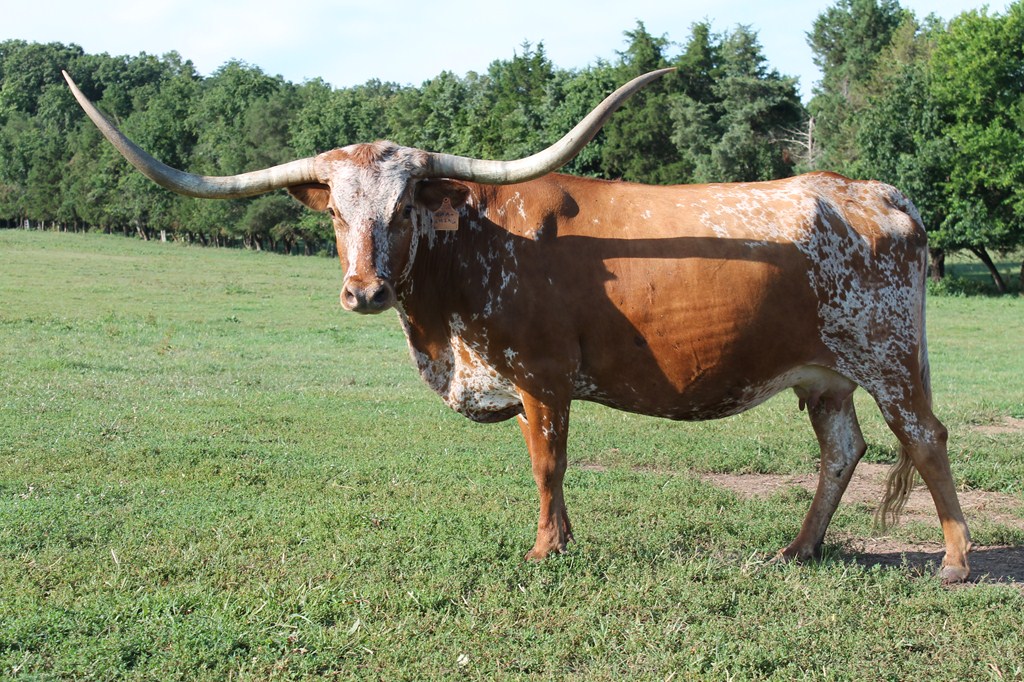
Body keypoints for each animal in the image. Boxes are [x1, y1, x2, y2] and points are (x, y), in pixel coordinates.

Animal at [64, 68, 972, 582]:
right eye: (337, 216)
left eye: (404, 206)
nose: (364, 291)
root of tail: (871, 189)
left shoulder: (541, 375)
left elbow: (547, 463)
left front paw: (547, 550)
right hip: (823, 375)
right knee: (843, 450)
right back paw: (798, 550)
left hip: (888, 355)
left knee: (924, 437)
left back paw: (957, 561)